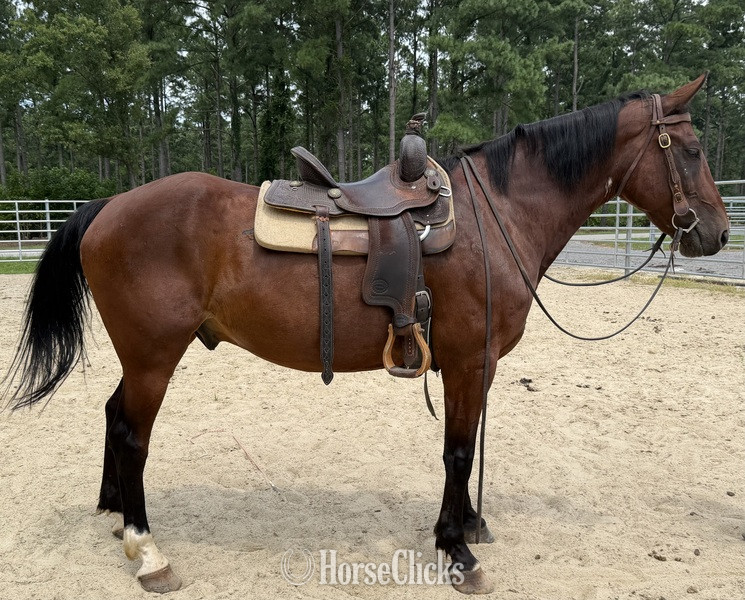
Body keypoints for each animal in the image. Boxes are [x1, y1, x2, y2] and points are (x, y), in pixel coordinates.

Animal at [4, 74, 729, 594]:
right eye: (692, 151)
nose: (717, 233)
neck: (498, 217)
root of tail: (106, 207)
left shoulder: (481, 365)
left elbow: (467, 445)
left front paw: (468, 524)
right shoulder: (467, 360)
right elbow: (457, 450)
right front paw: (455, 549)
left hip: (141, 356)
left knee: (111, 414)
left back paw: (112, 513)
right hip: (155, 355)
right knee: (132, 434)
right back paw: (146, 547)